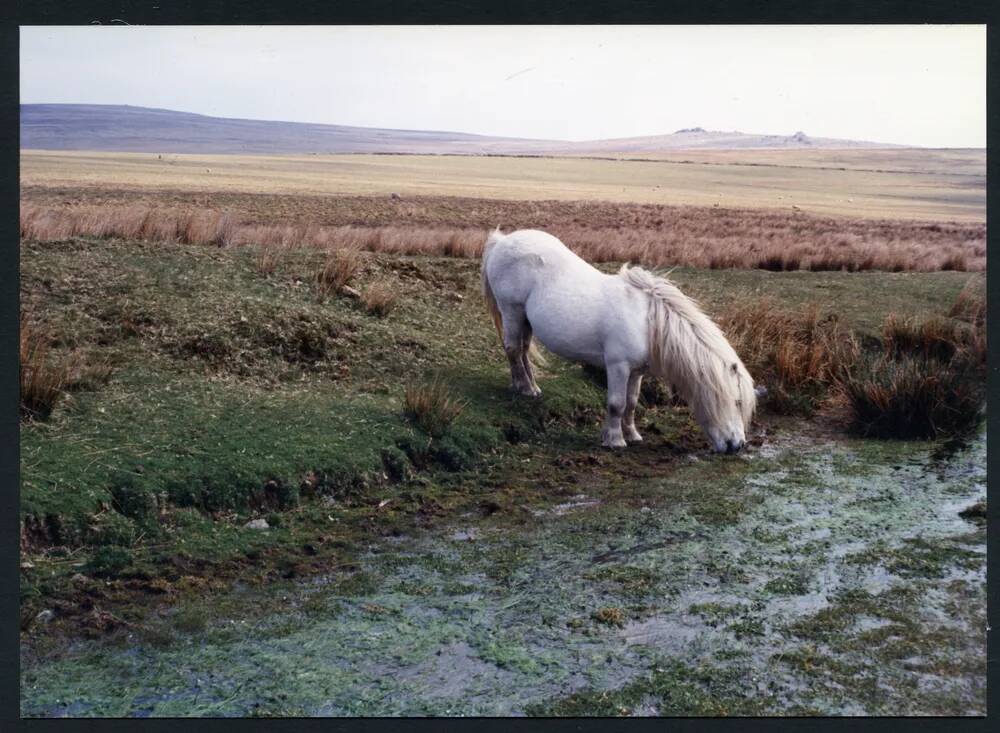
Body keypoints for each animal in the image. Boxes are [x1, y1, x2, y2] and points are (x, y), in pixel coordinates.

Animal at [482, 229, 756, 452]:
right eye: (737, 401)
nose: (737, 445)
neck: (647, 321)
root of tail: (502, 240)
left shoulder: (637, 372)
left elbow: (632, 403)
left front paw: (632, 435)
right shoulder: (618, 366)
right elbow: (616, 403)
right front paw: (615, 440)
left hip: (526, 320)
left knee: (523, 349)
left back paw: (530, 387)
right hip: (512, 311)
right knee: (513, 349)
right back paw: (525, 388)